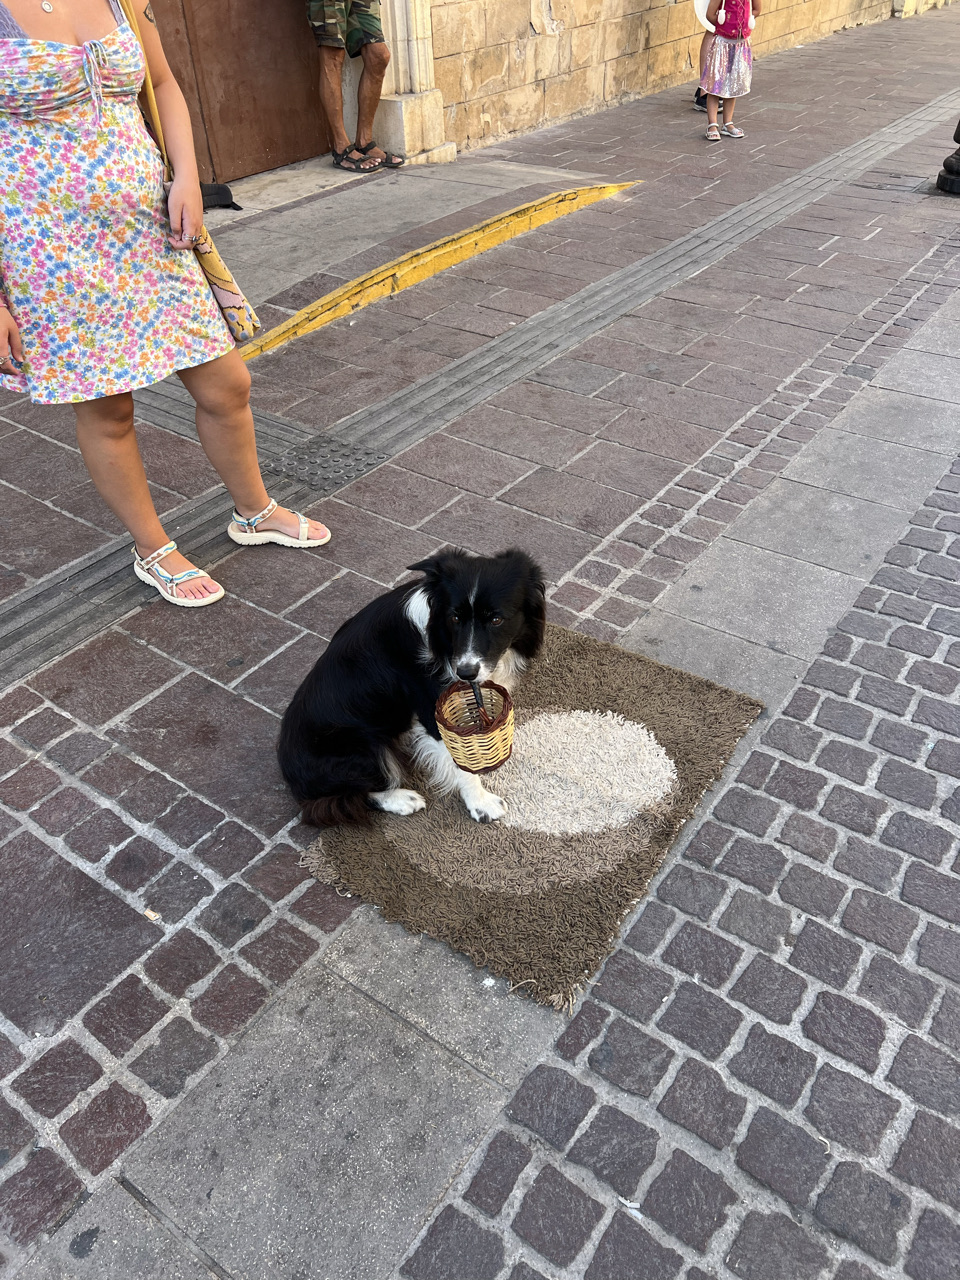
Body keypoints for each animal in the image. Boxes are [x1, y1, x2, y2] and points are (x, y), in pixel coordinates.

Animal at [277, 548, 546, 827]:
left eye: (496, 619)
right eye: (454, 617)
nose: (465, 672)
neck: (440, 636)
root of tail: (291, 778)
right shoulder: (432, 707)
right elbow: (460, 763)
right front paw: (481, 804)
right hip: (362, 747)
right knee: (338, 802)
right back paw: (402, 800)